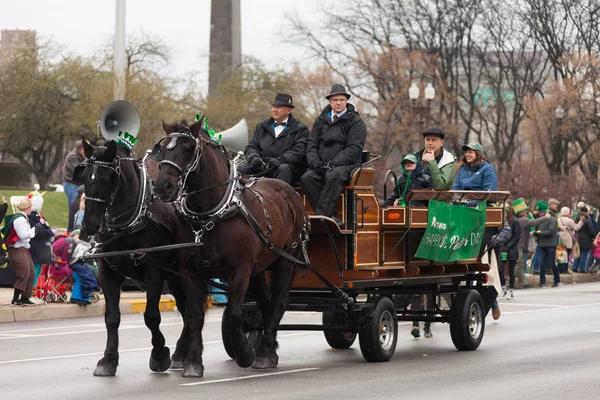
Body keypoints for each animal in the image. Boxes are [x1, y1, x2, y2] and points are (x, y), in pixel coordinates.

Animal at [77, 139, 189, 376]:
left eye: (107, 178)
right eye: (84, 177)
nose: (89, 225)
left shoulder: (154, 272)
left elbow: (151, 316)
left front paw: (159, 354)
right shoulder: (107, 273)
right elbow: (111, 318)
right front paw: (108, 359)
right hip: (175, 278)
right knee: (187, 308)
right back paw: (182, 353)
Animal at [155, 119, 310, 378]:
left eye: (188, 148)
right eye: (164, 147)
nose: (162, 186)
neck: (213, 213)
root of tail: (290, 192)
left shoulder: (240, 271)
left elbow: (233, 315)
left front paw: (245, 354)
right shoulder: (190, 273)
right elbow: (194, 317)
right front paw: (193, 363)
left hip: (285, 261)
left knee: (279, 302)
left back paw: (265, 354)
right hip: (260, 268)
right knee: (266, 303)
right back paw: (268, 347)